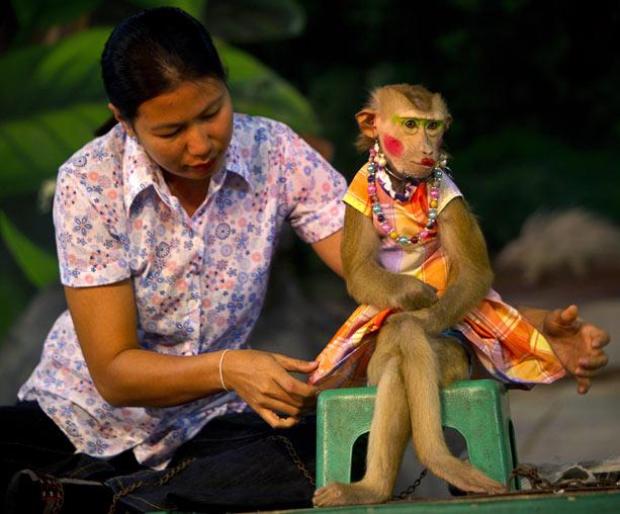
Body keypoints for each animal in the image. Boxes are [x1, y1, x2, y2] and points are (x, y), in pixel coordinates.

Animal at [308, 85, 568, 504]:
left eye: (432, 126)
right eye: (410, 125)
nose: (428, 144)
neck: (402, 185)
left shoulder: (448, 193)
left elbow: (471, 274)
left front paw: (416, 312)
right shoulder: (358, 188)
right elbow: (360, 271)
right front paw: (413, 292)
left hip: (457, 355)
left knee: (406, 343)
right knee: (394, 359)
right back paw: (374, 487)